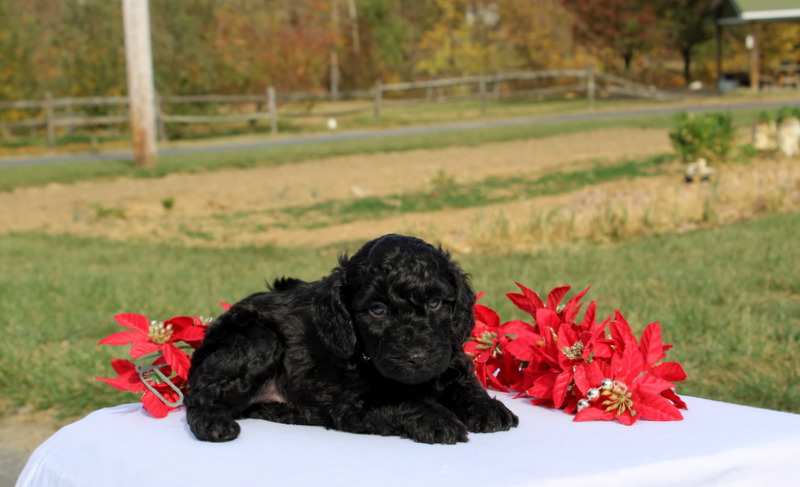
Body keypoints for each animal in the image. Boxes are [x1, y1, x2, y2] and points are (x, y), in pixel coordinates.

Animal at [186, 234, 520, 444]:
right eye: (377, 309)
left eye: (436, 303)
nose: (417, 357)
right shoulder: (352, 402)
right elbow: (402, 401)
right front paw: (439, 419)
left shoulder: (449, 355)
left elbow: (464, 383)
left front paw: (488, 409)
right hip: (257, 340)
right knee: (200, 392)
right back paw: (214, 424)